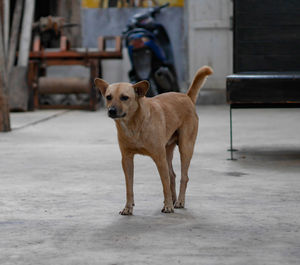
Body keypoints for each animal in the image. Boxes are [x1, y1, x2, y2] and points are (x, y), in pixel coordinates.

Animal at [95, 66, 212, 214]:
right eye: (108, 97)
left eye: (124, 98)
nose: (111, 111)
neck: (134, 124)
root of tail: (187, 97)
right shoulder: (127, 159)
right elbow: (129, 187)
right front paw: (128, 207)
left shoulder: (159, 158)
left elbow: (164, 184)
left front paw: (168, 206)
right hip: (168, 151)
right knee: (172, 176)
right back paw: (174, 199)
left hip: (185, 148)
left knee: (183, 177)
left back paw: (179, 201)